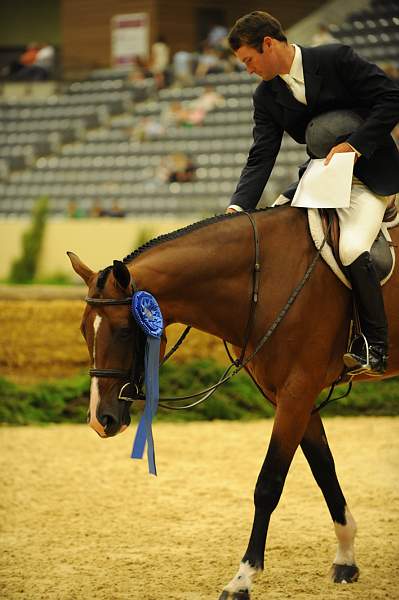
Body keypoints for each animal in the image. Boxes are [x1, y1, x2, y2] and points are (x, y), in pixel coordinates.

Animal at [69, 204, 399, 596]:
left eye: (122, 331)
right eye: (83, 330)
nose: (99, 419)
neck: (267, 278)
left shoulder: (297, 392)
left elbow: (268, 485)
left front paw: (243, 578)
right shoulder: (290, 397)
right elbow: (324, 470)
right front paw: (346, 557)